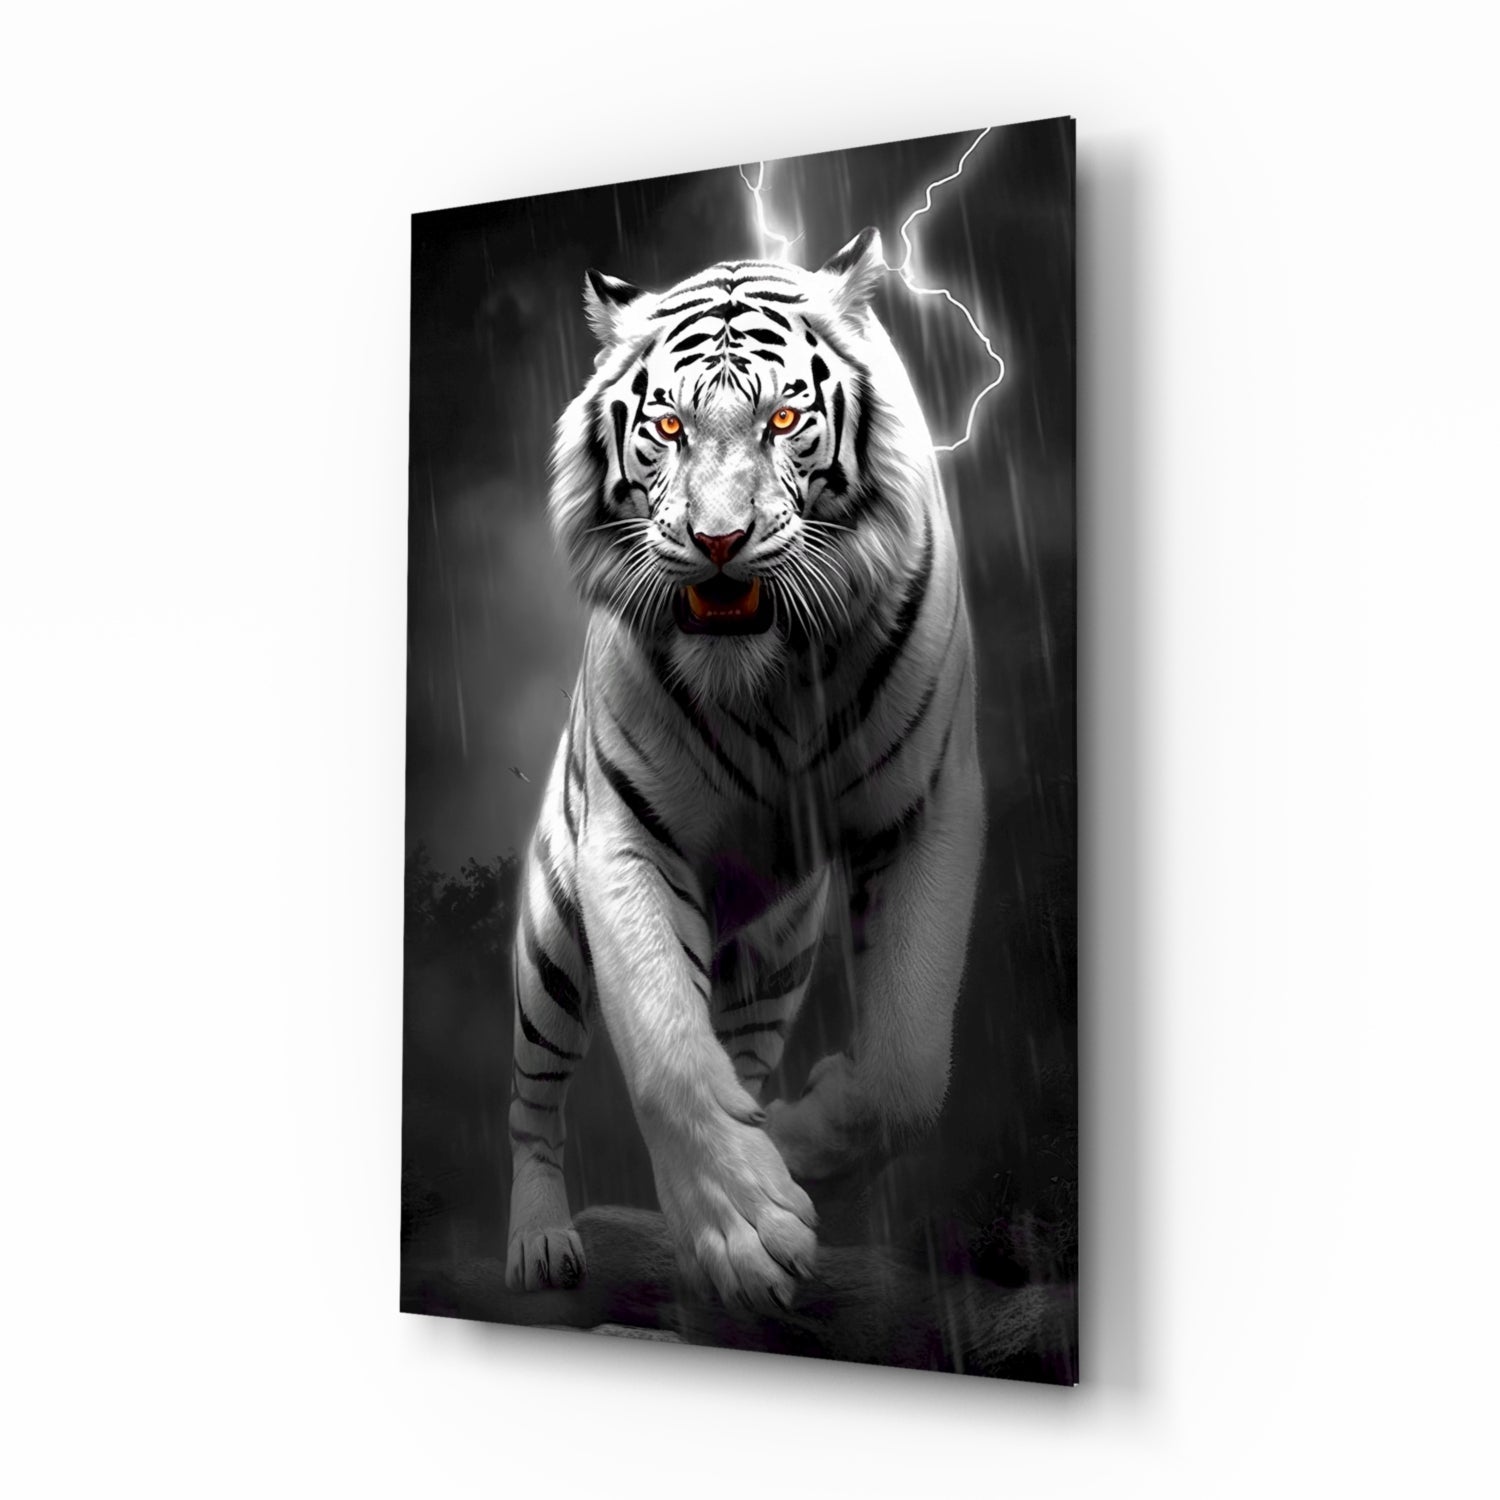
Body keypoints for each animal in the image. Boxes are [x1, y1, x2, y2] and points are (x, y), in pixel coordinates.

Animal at [504, 227, 985, 1311]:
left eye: (785, 418)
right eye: (669, 426)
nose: (718, 542)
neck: (771, 675)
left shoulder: (925, 807)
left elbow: (907, 1068)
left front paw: (795, 1147)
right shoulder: (628, 836)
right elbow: (666, 1048)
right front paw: (743, 1231)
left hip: (777, 955)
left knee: (746, 1047)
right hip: (549, 943)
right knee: (533, 1103)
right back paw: (540, 1240)